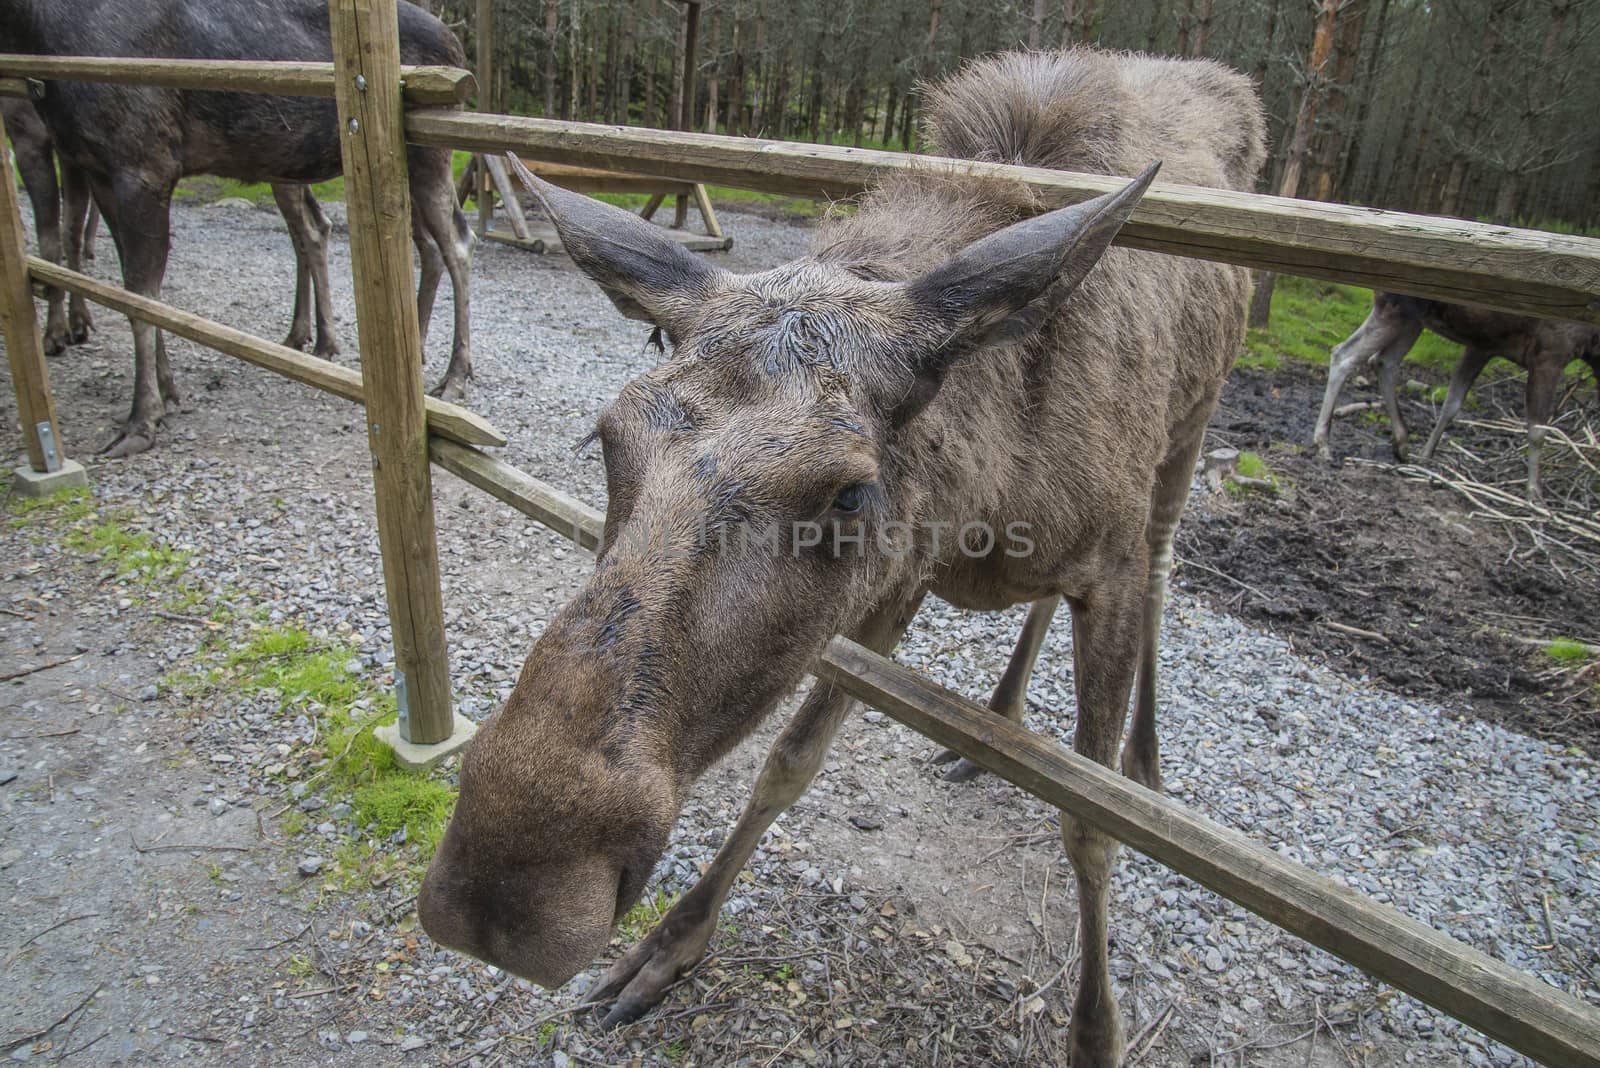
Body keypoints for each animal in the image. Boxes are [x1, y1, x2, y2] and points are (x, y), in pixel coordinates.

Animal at [422, 47, 1260, 1061]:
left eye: (850, 491)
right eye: (606, 437)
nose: (505, 893)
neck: (991, 491)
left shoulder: (1108, 562)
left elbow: (1089, 826)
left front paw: (1097, 1030)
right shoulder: (898, 574)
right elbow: (791, 757)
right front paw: (672, 944)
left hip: (1189, 438)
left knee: (1167, 575)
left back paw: (1142, 755)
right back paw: (1000, 716)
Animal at [1312, 292, 1600, 502]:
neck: (1592, 344)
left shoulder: (1483, 344)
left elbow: (1452, 404)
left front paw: (1426, 456)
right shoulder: (1549, 353)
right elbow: (1538, 430)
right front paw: (1534, 494)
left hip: (1412, 319)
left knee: (1383, 362)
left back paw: (1402, 444)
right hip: (1396, 309)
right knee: (1344, 354)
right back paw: (1324, 442)